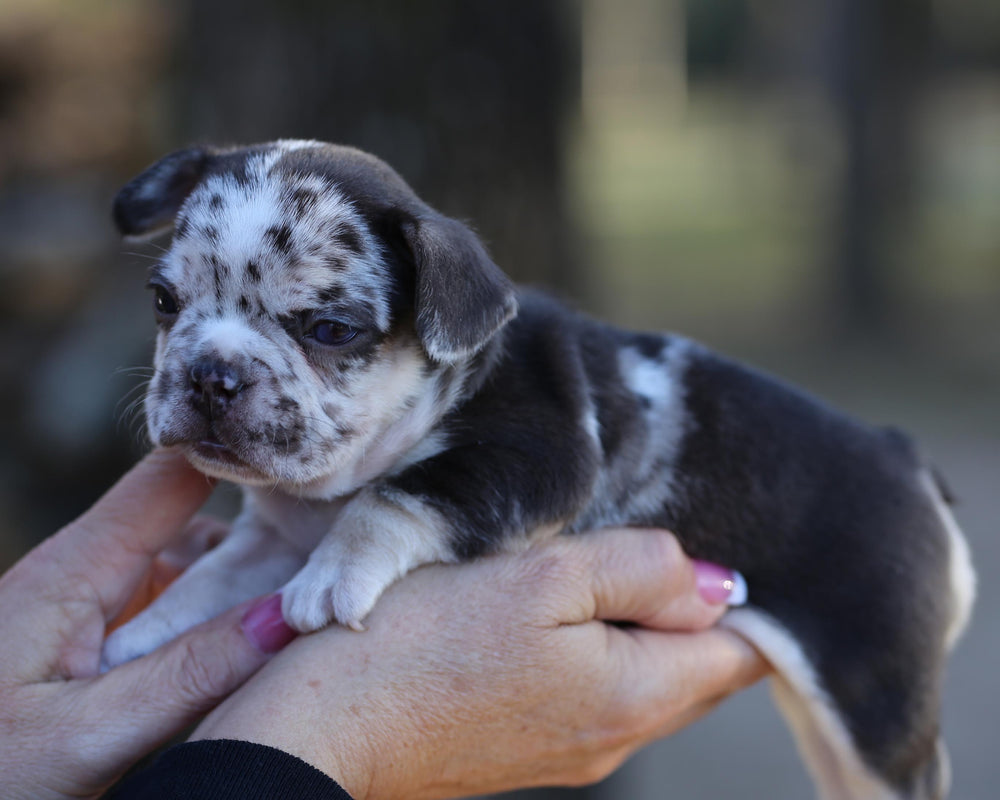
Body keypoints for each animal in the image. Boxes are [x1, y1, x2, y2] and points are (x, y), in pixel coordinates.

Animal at [105, 142, 972, 800]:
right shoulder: (272, 538)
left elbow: (400, 493)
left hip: (874, 698)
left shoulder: (541, 458)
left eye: (329, 329)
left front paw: (334, 571)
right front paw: (142, 638)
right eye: (161, 300)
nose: (212, 375)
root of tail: (905, 457)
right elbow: (210, 581)